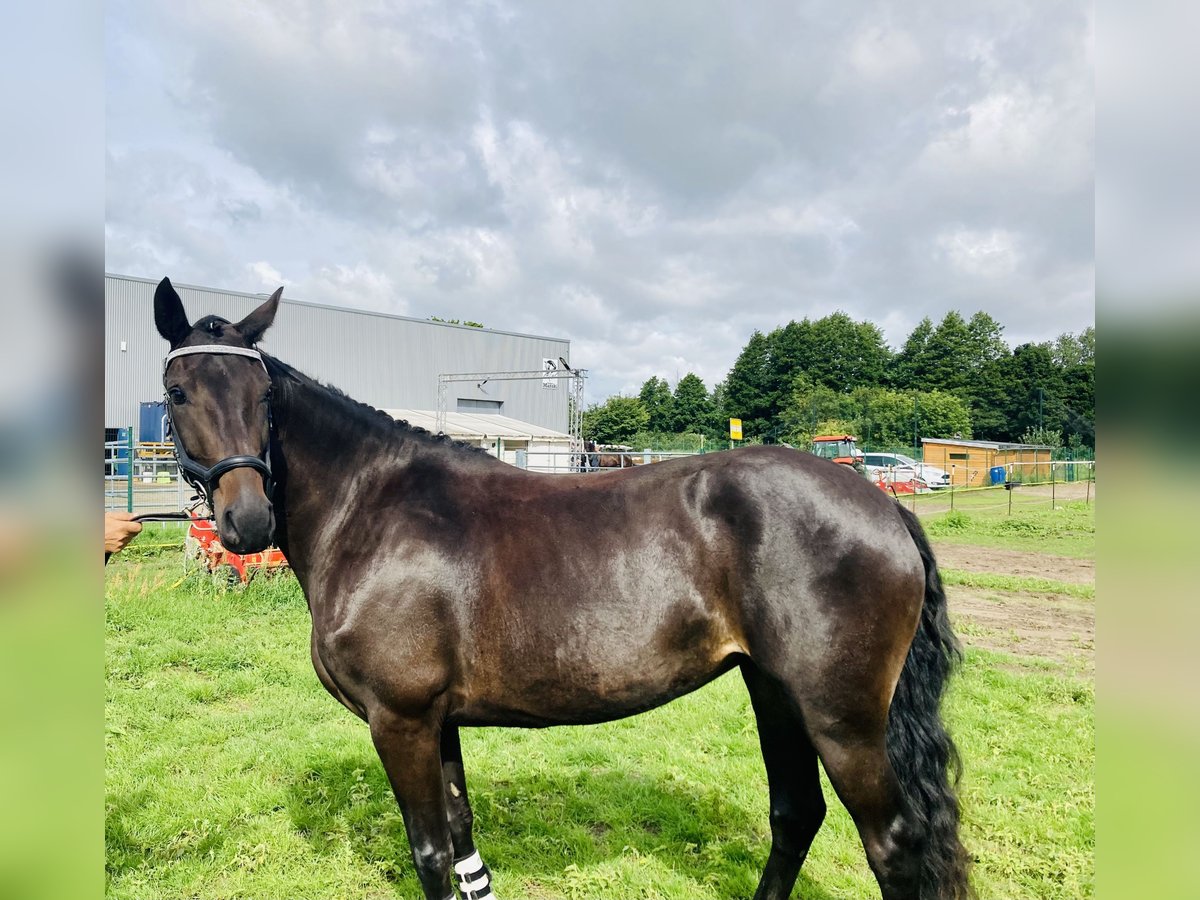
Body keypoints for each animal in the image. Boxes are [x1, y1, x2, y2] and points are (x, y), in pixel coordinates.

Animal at [154, 278, 969, 897]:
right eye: (178, 391)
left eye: (264, 396)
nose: (247, 520)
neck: (372, 508)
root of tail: (885, 507)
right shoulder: (437, 721)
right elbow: (461, 840)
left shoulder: (401, 719)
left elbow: (430, 854)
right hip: (775, 692)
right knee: (795, 815)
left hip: (842, 719)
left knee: (891, 842)